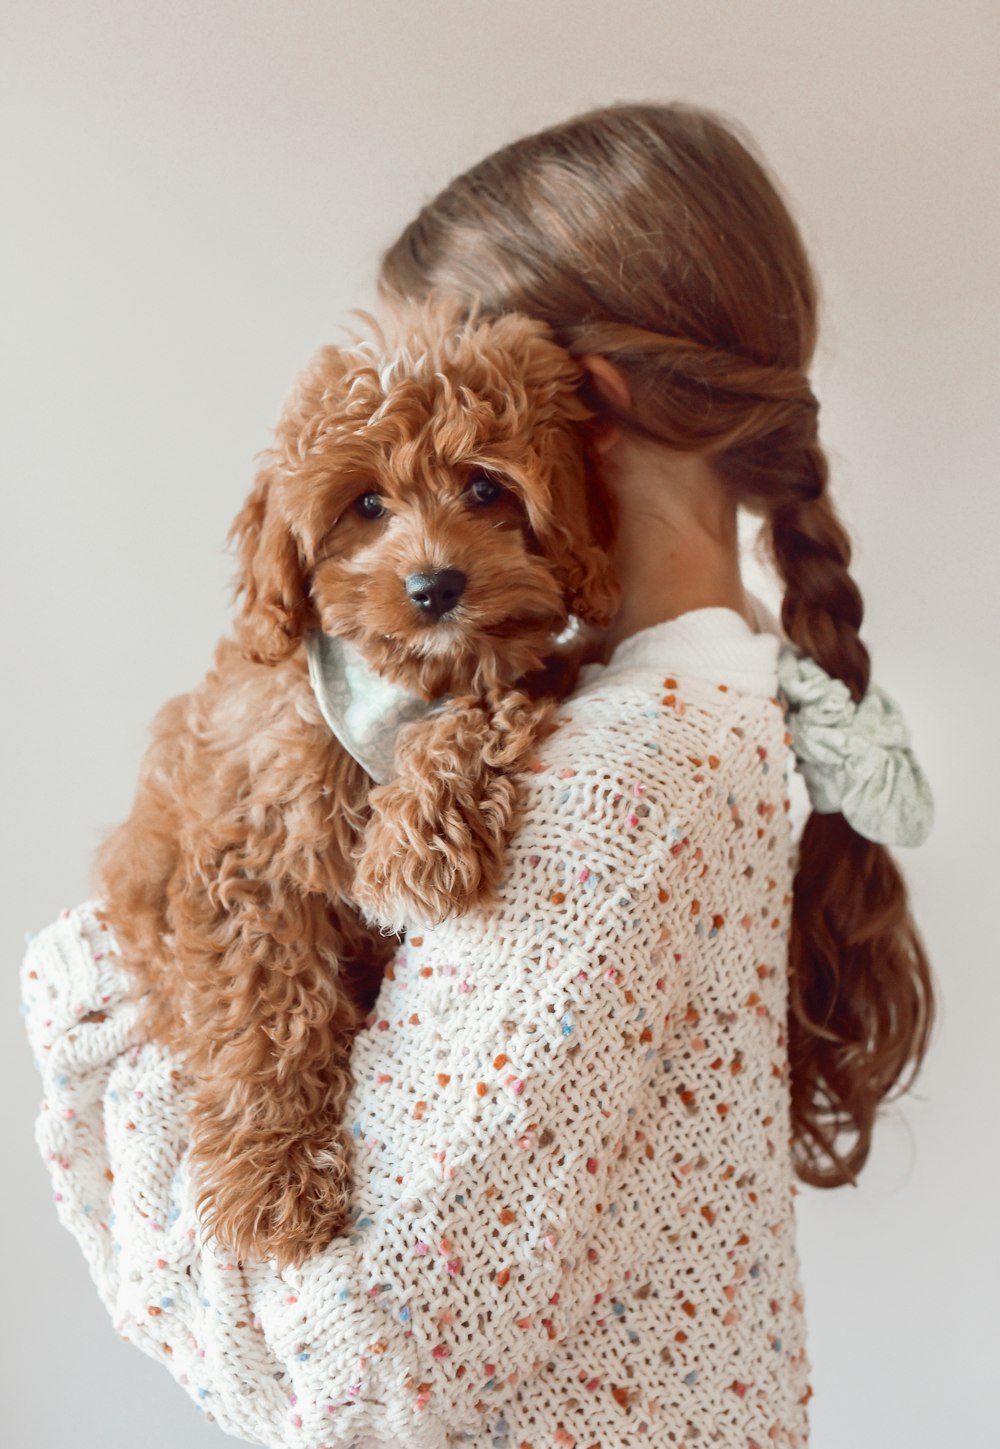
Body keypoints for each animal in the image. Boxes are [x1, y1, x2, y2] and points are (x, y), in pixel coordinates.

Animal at [99, 299, 614, 1263]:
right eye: (366, 504)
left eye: (485, 488)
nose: (435, 585)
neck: (392, 687)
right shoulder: (248, 848)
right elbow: (262, 1010)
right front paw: (273, 1183)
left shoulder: (525, 673)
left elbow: (487, 700)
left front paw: (417, 843)